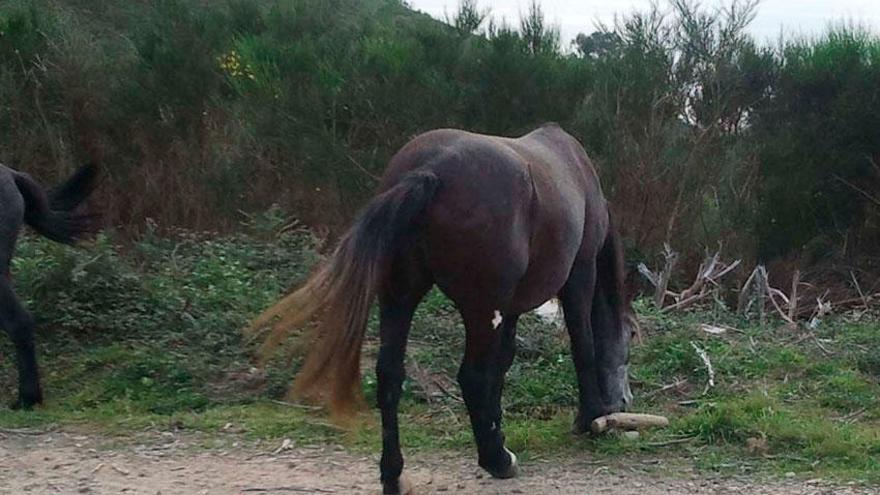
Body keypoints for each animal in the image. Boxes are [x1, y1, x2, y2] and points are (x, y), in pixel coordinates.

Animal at [251, 124, 636, 495]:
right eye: (630, 341)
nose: (622, 403)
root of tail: (430, 169)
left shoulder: (511, 306)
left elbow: (503, 364)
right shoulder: (579, 275)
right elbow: (582, 346)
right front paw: (590, 419)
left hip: (401, 298)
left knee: (390, 375)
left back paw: (395, 476)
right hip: (481, 308)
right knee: (472, 376)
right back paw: (496, 460)